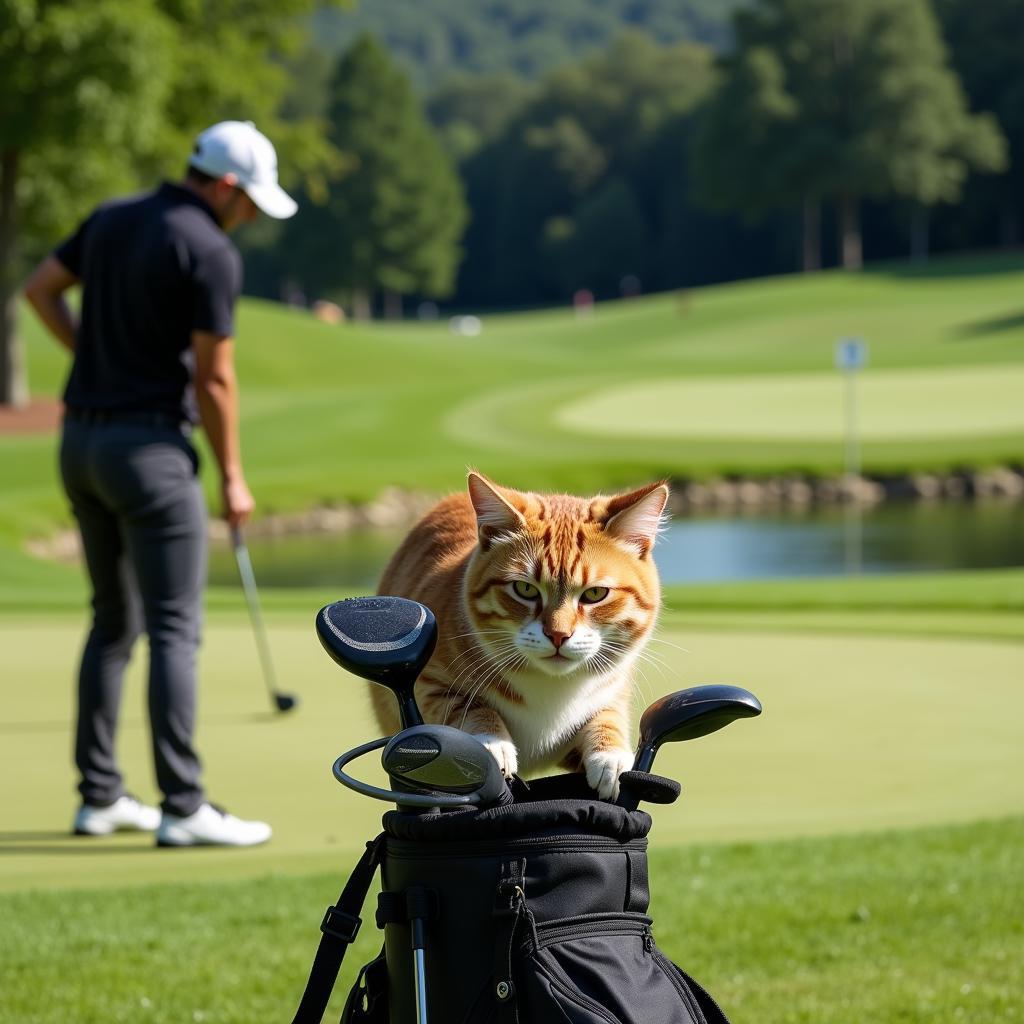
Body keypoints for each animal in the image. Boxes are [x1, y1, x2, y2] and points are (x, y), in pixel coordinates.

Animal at [372, 471, 667, 798]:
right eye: (525, 589)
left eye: (595, 594)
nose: (558, 634)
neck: (552, 687)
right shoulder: (429, 683)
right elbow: (469, 706)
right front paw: (494, 744)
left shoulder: (615, 688)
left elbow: (607, 717)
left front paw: (611, 756)